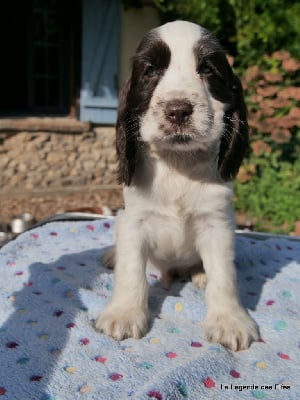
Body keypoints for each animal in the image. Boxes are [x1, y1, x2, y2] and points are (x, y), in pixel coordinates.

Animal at [95, 20, 258, 350]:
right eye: (150, 71)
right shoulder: (134, 220)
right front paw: (124, 313)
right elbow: (131, 271)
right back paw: (111, 255)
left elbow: (224, 276)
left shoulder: (217, 224)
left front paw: (230, 320)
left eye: (207, 69)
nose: (178, 110)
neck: (178, 164)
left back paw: (200, 274)